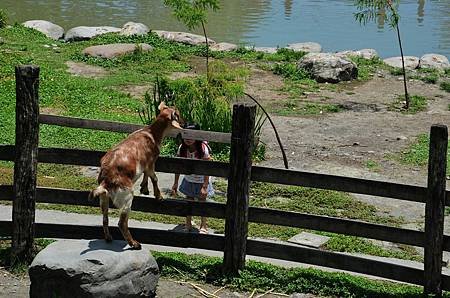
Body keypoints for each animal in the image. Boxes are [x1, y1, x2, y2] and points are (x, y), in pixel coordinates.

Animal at [89, 102, 182, 249]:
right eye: (177, 114)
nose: (184, 123)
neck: (151, 133)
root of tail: (105, 182)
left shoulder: (145, 164)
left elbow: (146, 175)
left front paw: (144, 188)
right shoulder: (150, 162)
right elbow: (154, 177)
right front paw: (158, 196)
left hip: (104, 199)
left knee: (105, 218)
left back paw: (109, 238)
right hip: (126, 197)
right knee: (122, 222)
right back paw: (134, 244)